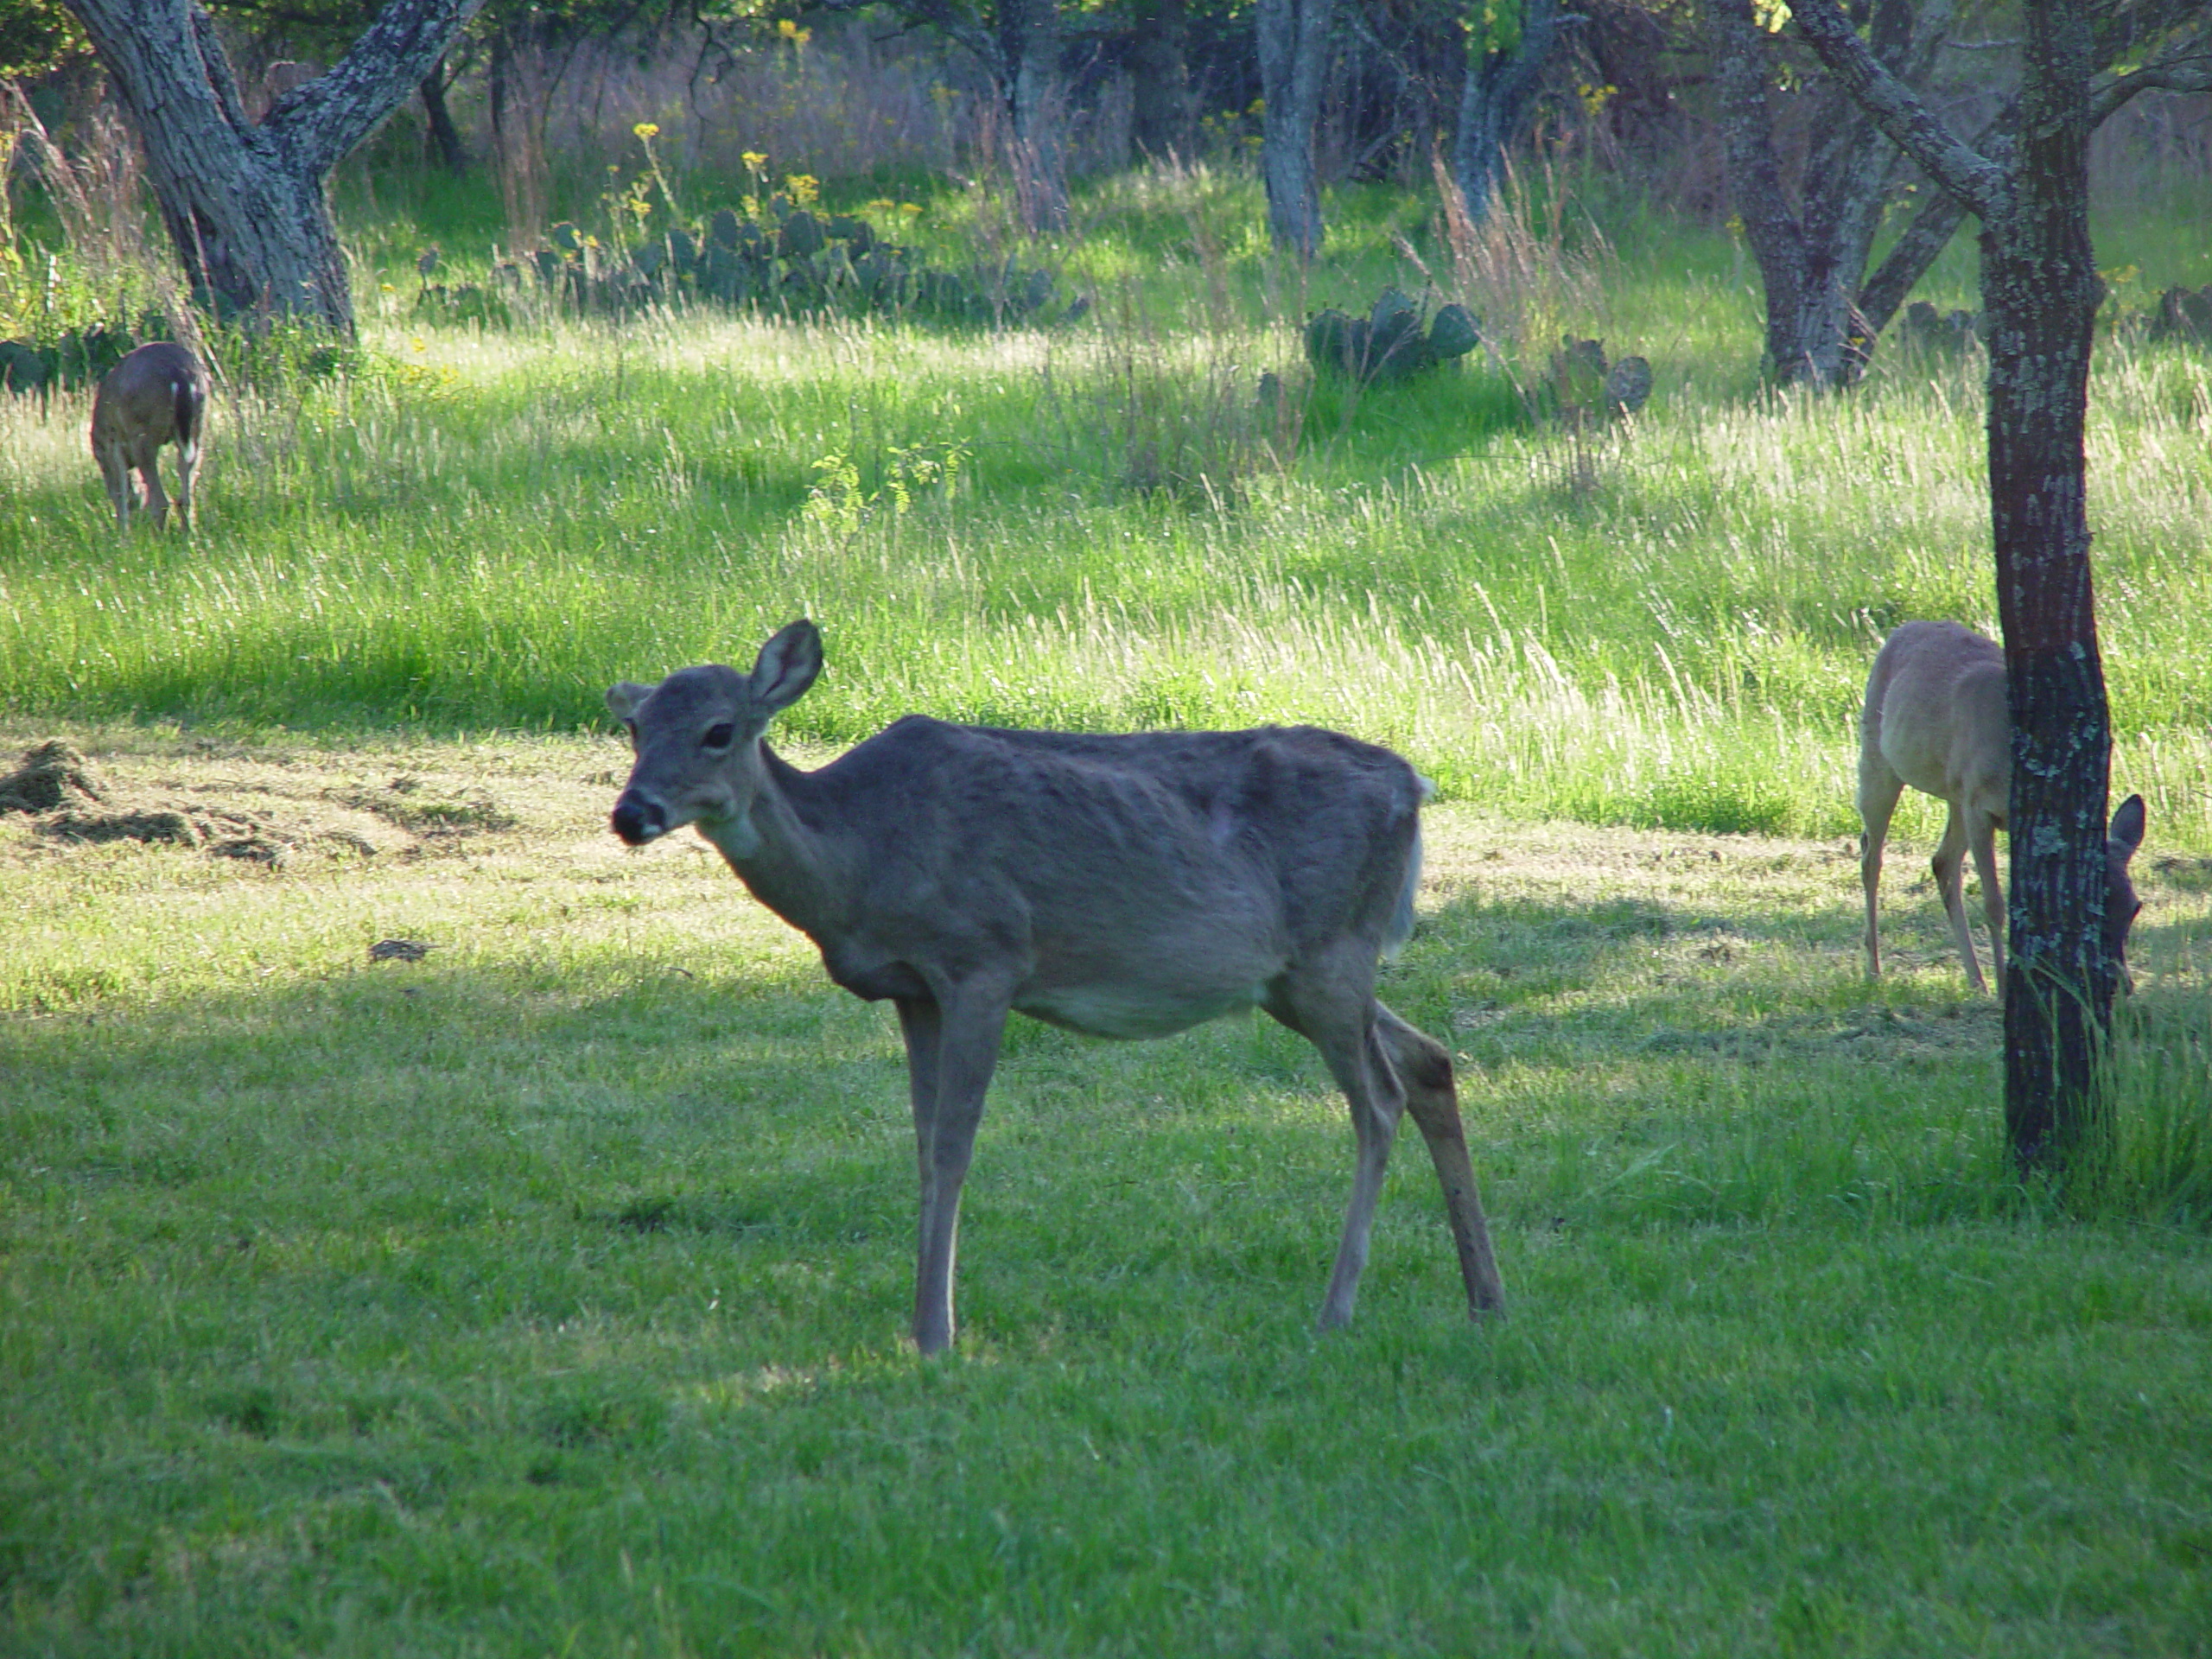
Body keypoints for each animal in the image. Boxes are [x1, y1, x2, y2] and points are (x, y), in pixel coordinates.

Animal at [89, 345, 207, 532]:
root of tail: (178, 371)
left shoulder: (114, 444)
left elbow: (123, 490)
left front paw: (124, 534)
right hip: (197, 427)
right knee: (185, 497)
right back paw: (188, 535)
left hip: (142, 433)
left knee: (161, 502)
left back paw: (157, 537)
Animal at [606, 619, 1503, 1353]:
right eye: (635, 728)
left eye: (719, 730)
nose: (631, 813)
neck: (862, 859)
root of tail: (1414, 784)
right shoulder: (913, 990)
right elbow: (922, 1147)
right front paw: (923, 1318)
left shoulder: (984, 958)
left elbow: (954, 1146)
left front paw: (936, 1333)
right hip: (1297, 977)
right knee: (1430, 1059)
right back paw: (1485, 1298)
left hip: (1330, 954)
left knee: (1378, 1100)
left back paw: (1337, 1311)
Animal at [1849, 619, 2141, 986]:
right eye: (2091, 912)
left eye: (2135, 907)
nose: (2123, 983)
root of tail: (1902, 629)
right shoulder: (1978, 806)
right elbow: (1994, 906)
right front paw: (2006, 986)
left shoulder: (1983, 805)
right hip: (1877, 755)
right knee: (1870, 856)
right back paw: (1874, 969)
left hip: (1954, 792)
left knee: (1942, 862)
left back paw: (1976, 980)